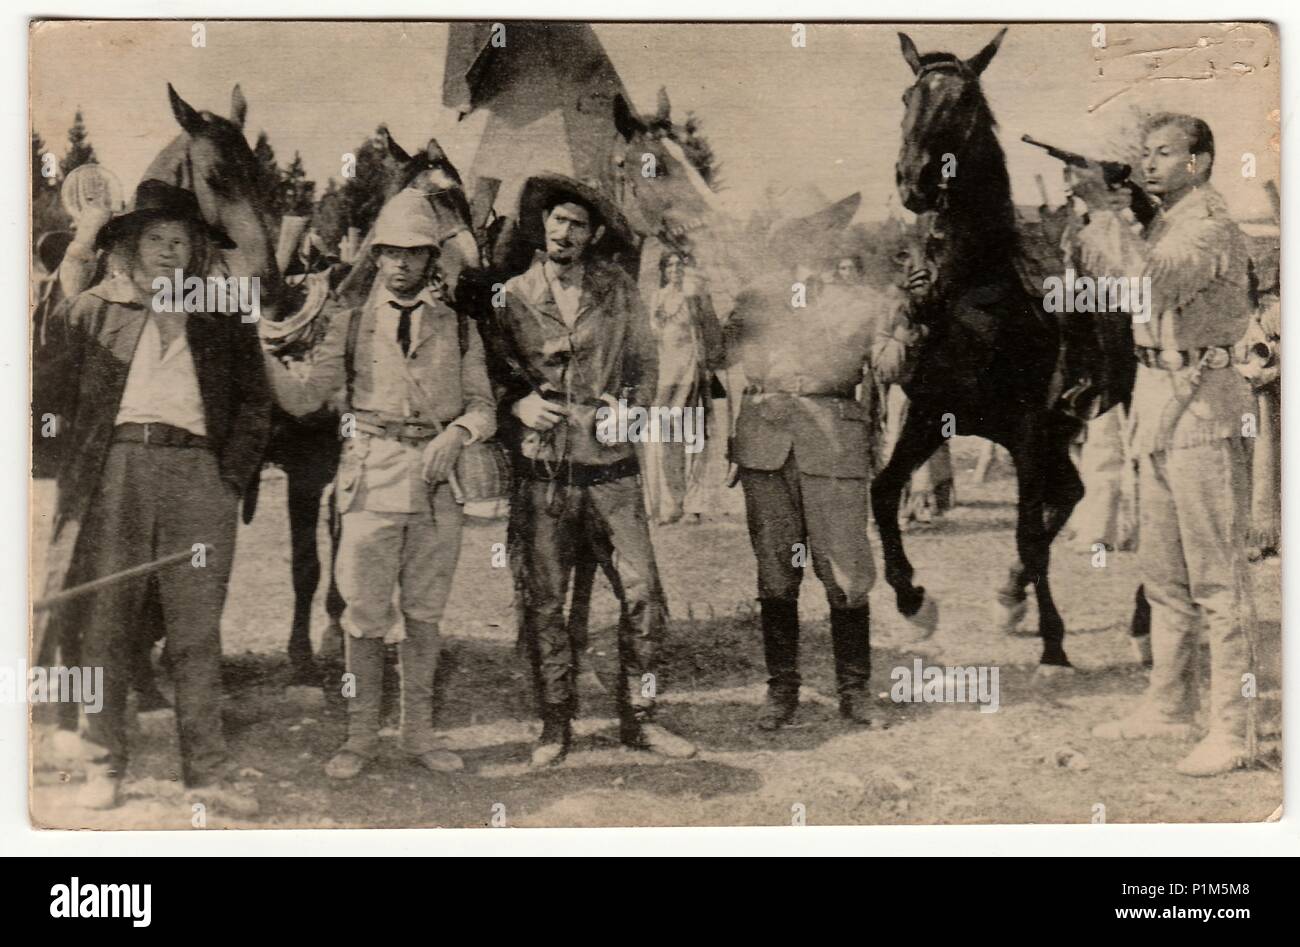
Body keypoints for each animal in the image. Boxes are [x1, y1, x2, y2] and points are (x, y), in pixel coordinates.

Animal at [873, 27, 1097, 666]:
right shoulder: (930, 414)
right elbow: (882, 491)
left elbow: (1027, 528)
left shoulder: (1025, 428)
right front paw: (913, 602)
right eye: (907, 96)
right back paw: (1011, 592)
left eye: (965, 101)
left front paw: (1053, 642)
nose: (914, 180)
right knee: (1069, 492)